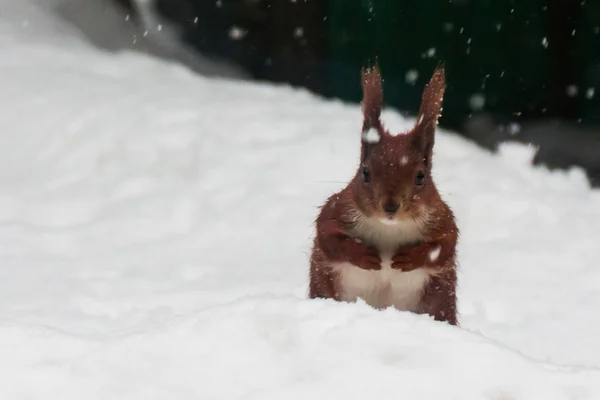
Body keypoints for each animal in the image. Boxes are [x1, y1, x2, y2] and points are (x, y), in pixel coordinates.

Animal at [310, 62, 460, 324]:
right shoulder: (338, 209)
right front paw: (364, 255)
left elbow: (445, 245)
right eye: (365, 173)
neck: (390, 228)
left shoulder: (442, 218)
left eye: (420, 177)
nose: (390, 206)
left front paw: (409, 257)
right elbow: (328, 236)